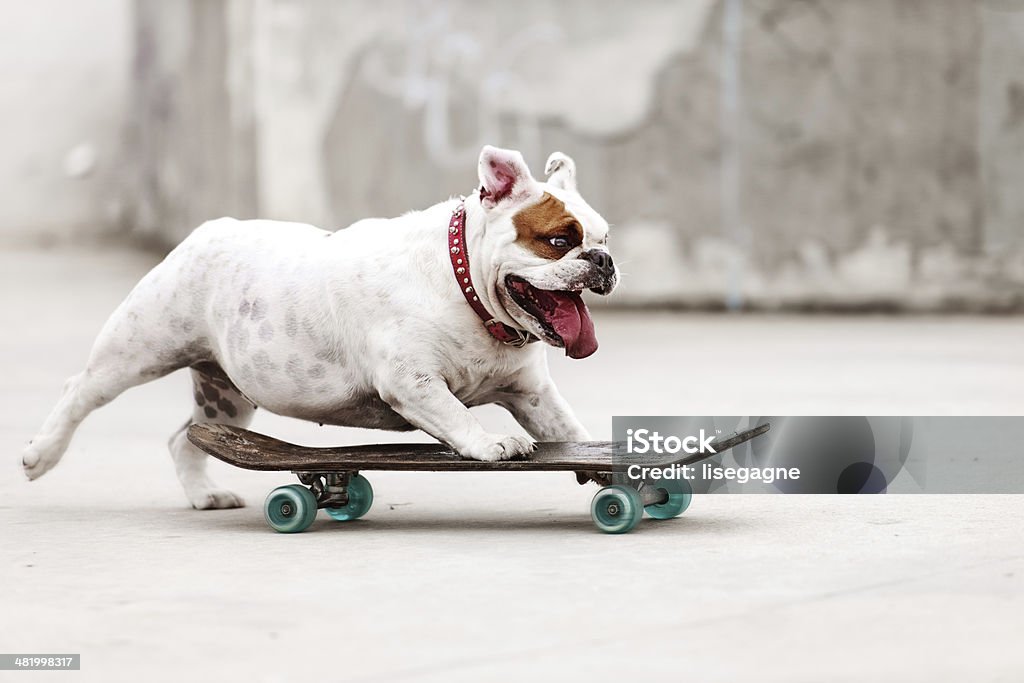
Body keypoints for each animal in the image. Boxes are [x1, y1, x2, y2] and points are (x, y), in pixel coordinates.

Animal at [22, 145, 614, 507]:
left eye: (603, 237)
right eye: (559, 240)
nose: (603, 260)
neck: (465, 285)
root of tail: (206, 230)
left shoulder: (532, 395)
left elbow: (569, 431)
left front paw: (598, 461)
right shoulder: (414, 382)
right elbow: (455, 415)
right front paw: (490, 444)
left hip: (227, 394)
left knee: (185, 437)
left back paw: (204, 495)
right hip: (136, 351)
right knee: (80, 392)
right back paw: (40, 454)